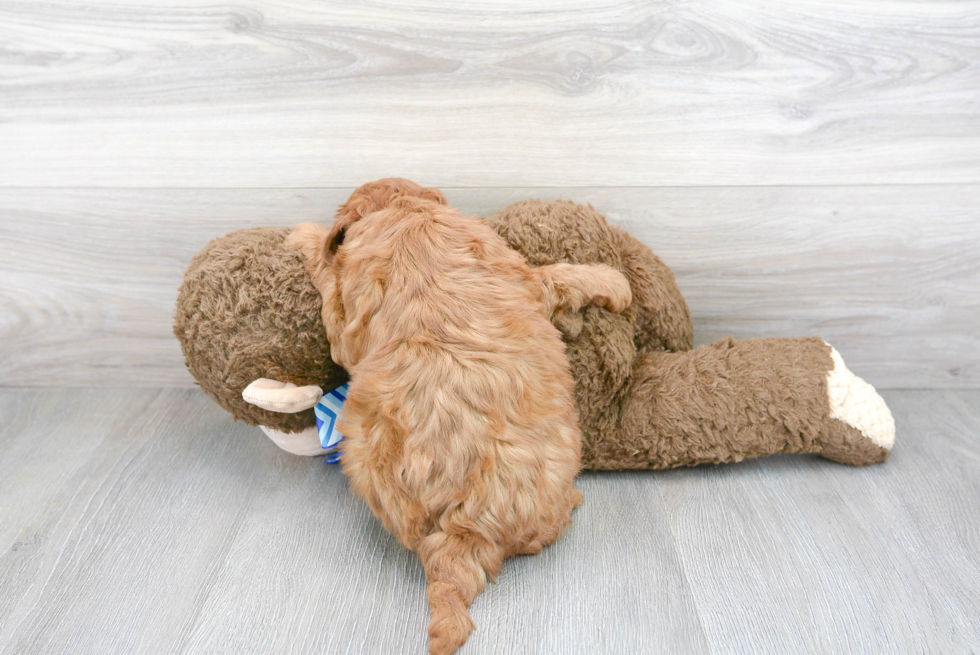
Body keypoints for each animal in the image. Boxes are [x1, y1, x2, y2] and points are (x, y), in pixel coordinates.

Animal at [288, 179, 632, 655]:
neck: (404, 213)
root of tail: (462, 529)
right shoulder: (523, 276)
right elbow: (557, 274)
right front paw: (616, 282)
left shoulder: (349, 323)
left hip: (362, 451)